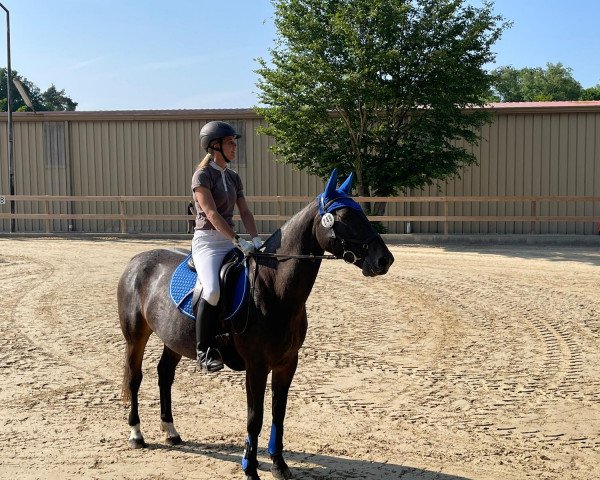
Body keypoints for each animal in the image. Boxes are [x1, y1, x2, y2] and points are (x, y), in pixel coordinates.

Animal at [119, 170, 396, 480]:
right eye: (346, 216)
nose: (384, 259)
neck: (273, 288)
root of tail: (137, 261)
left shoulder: (287, 363)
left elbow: (278, 413)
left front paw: (279, 464)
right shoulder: (257, 366)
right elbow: (255, 417)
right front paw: (250, 468)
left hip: (173, 339)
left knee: (164, 374)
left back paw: (170, 431)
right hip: (135, 337)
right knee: (135, 377)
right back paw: (136, 434)